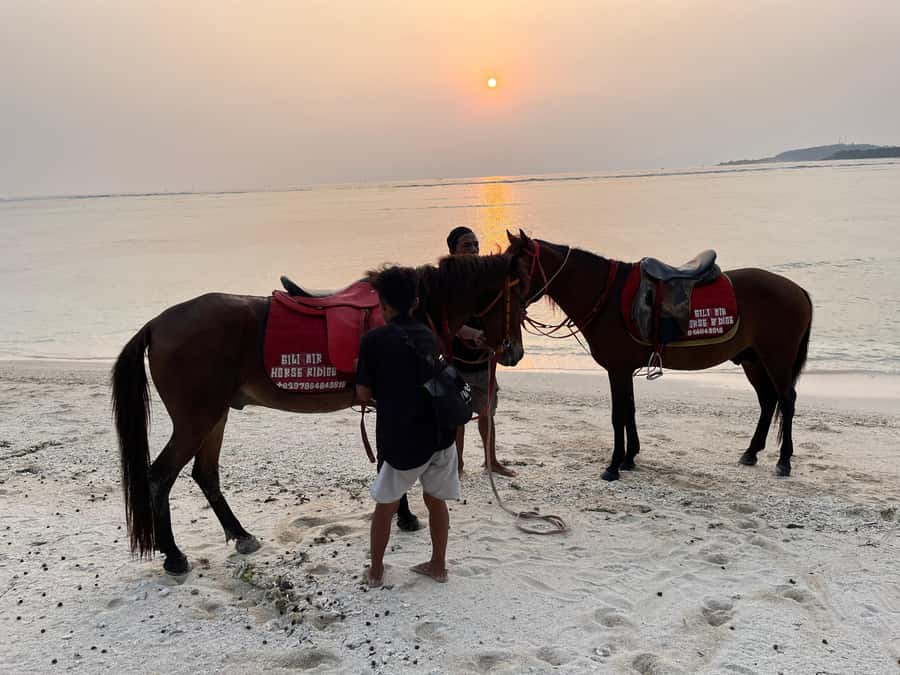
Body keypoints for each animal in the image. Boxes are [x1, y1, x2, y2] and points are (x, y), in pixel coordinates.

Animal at [112, 249, 530, 574]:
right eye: (521, 295)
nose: (514, 352)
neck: (412, 314)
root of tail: (157, 324)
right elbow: (390, 459)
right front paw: (407, 516)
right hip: (196, 420)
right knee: (159, 476)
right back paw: (173, 555)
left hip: (215, 416)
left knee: (205, 474)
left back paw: (241, 535)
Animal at [507, 231, 813, 482]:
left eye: (516, 268)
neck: (607, 296)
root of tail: (797, 290)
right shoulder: (624, 370)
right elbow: (629, 410)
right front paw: (629, 458)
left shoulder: (617, 369)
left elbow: (618, 415)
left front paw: (614, 466)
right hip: (753, 360)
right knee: (768, 401)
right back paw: (751, 453)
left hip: (776, 359)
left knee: (786, 400)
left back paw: (784, 461)